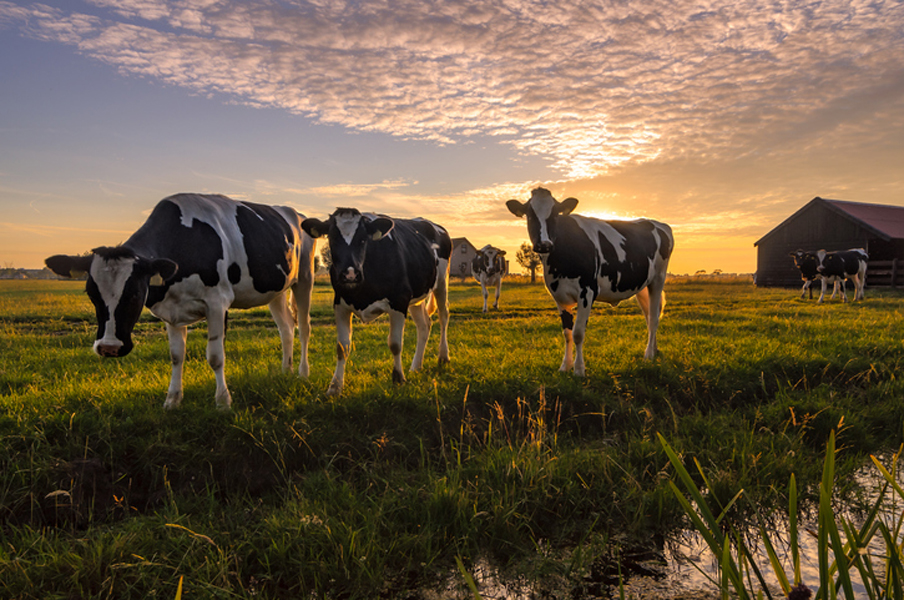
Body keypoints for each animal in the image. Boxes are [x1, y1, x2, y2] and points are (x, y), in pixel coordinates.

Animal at [44, 195, 316, 410]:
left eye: (135, 293)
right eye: (91, 293)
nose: (109, 347)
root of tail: (295, 212)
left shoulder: (217, 303)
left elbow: (215, 356)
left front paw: (223, 402)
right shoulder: (171, 310)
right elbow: (176, 355)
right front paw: (173, 400)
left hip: (304, 278)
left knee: (303, 327)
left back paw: (302, 374)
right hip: (276, 290)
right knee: (286, 328)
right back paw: (285, 371)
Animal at [300, 209, 452, 396]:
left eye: (363, 239)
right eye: (332, 238)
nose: (350, 274)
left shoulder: (399, 301)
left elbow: (395, 344)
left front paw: (398, 379)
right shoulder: (340, 304)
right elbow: (342, 347)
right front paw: (335, 386)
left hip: (442, 281)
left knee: (443, 316)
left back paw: (443, 356)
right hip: (417, 296)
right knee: (424, 325)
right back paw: (416, 366)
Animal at [504, 188, 676, 376]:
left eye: (555, 214)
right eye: (529, 215)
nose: (544, 245)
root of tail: (657, 223)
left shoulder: (587, 291)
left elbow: (578, 333)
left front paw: (579, 370)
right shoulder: (559, 296)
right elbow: (567, 333)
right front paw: (565, 366)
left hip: (658, 279)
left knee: (653, 319)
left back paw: (648, 356)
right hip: (642, 286)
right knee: (650, 315)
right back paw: (654, 350)